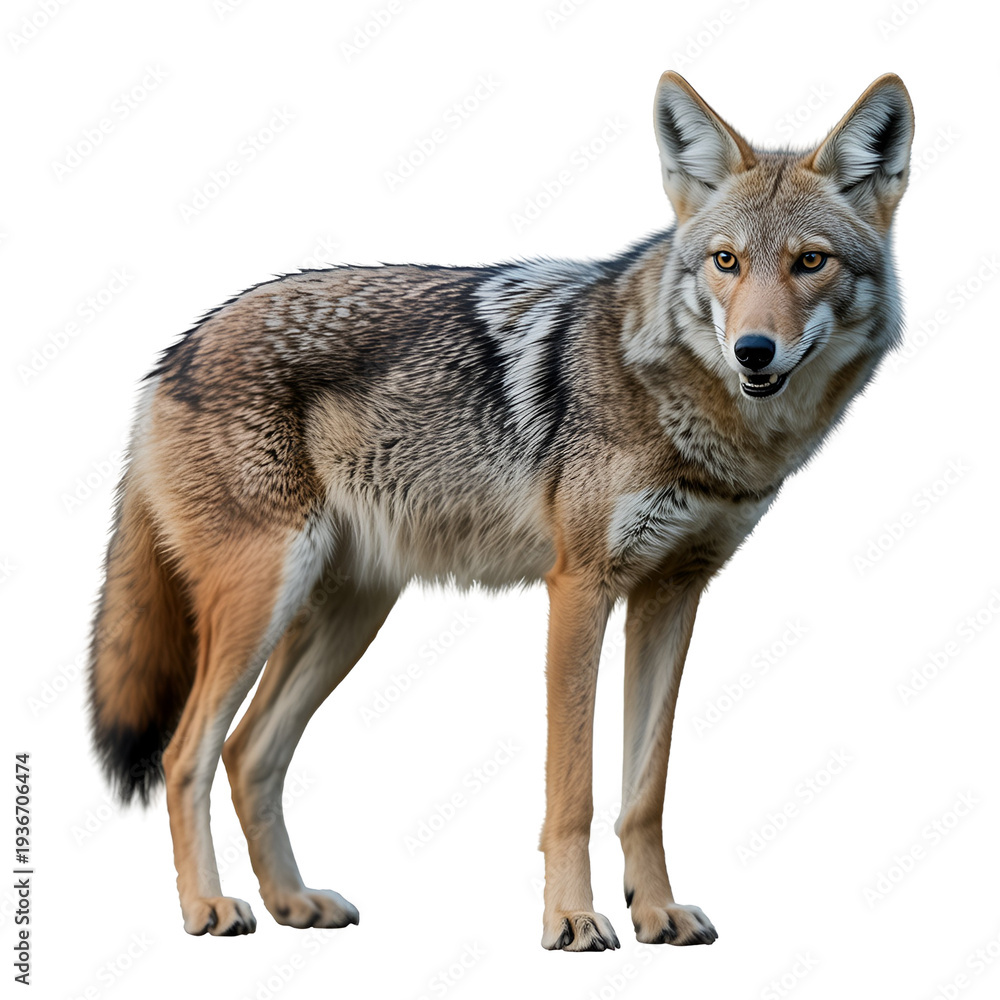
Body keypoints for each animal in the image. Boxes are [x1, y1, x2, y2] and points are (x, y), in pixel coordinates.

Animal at [87, 71, 913, 948]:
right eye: (727, 262)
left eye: (809, 262)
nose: (753, 351)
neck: (696, 420)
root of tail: (175, 350)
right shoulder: (579, 589)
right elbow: (574, 789)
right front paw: (573, 919)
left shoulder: (673, 594)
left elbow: (645, 790)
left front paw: (655, 912)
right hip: (264, 601)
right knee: (185, 754)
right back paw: (208, 908)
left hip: (347, 615)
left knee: (248, 754)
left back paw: (294, 902)